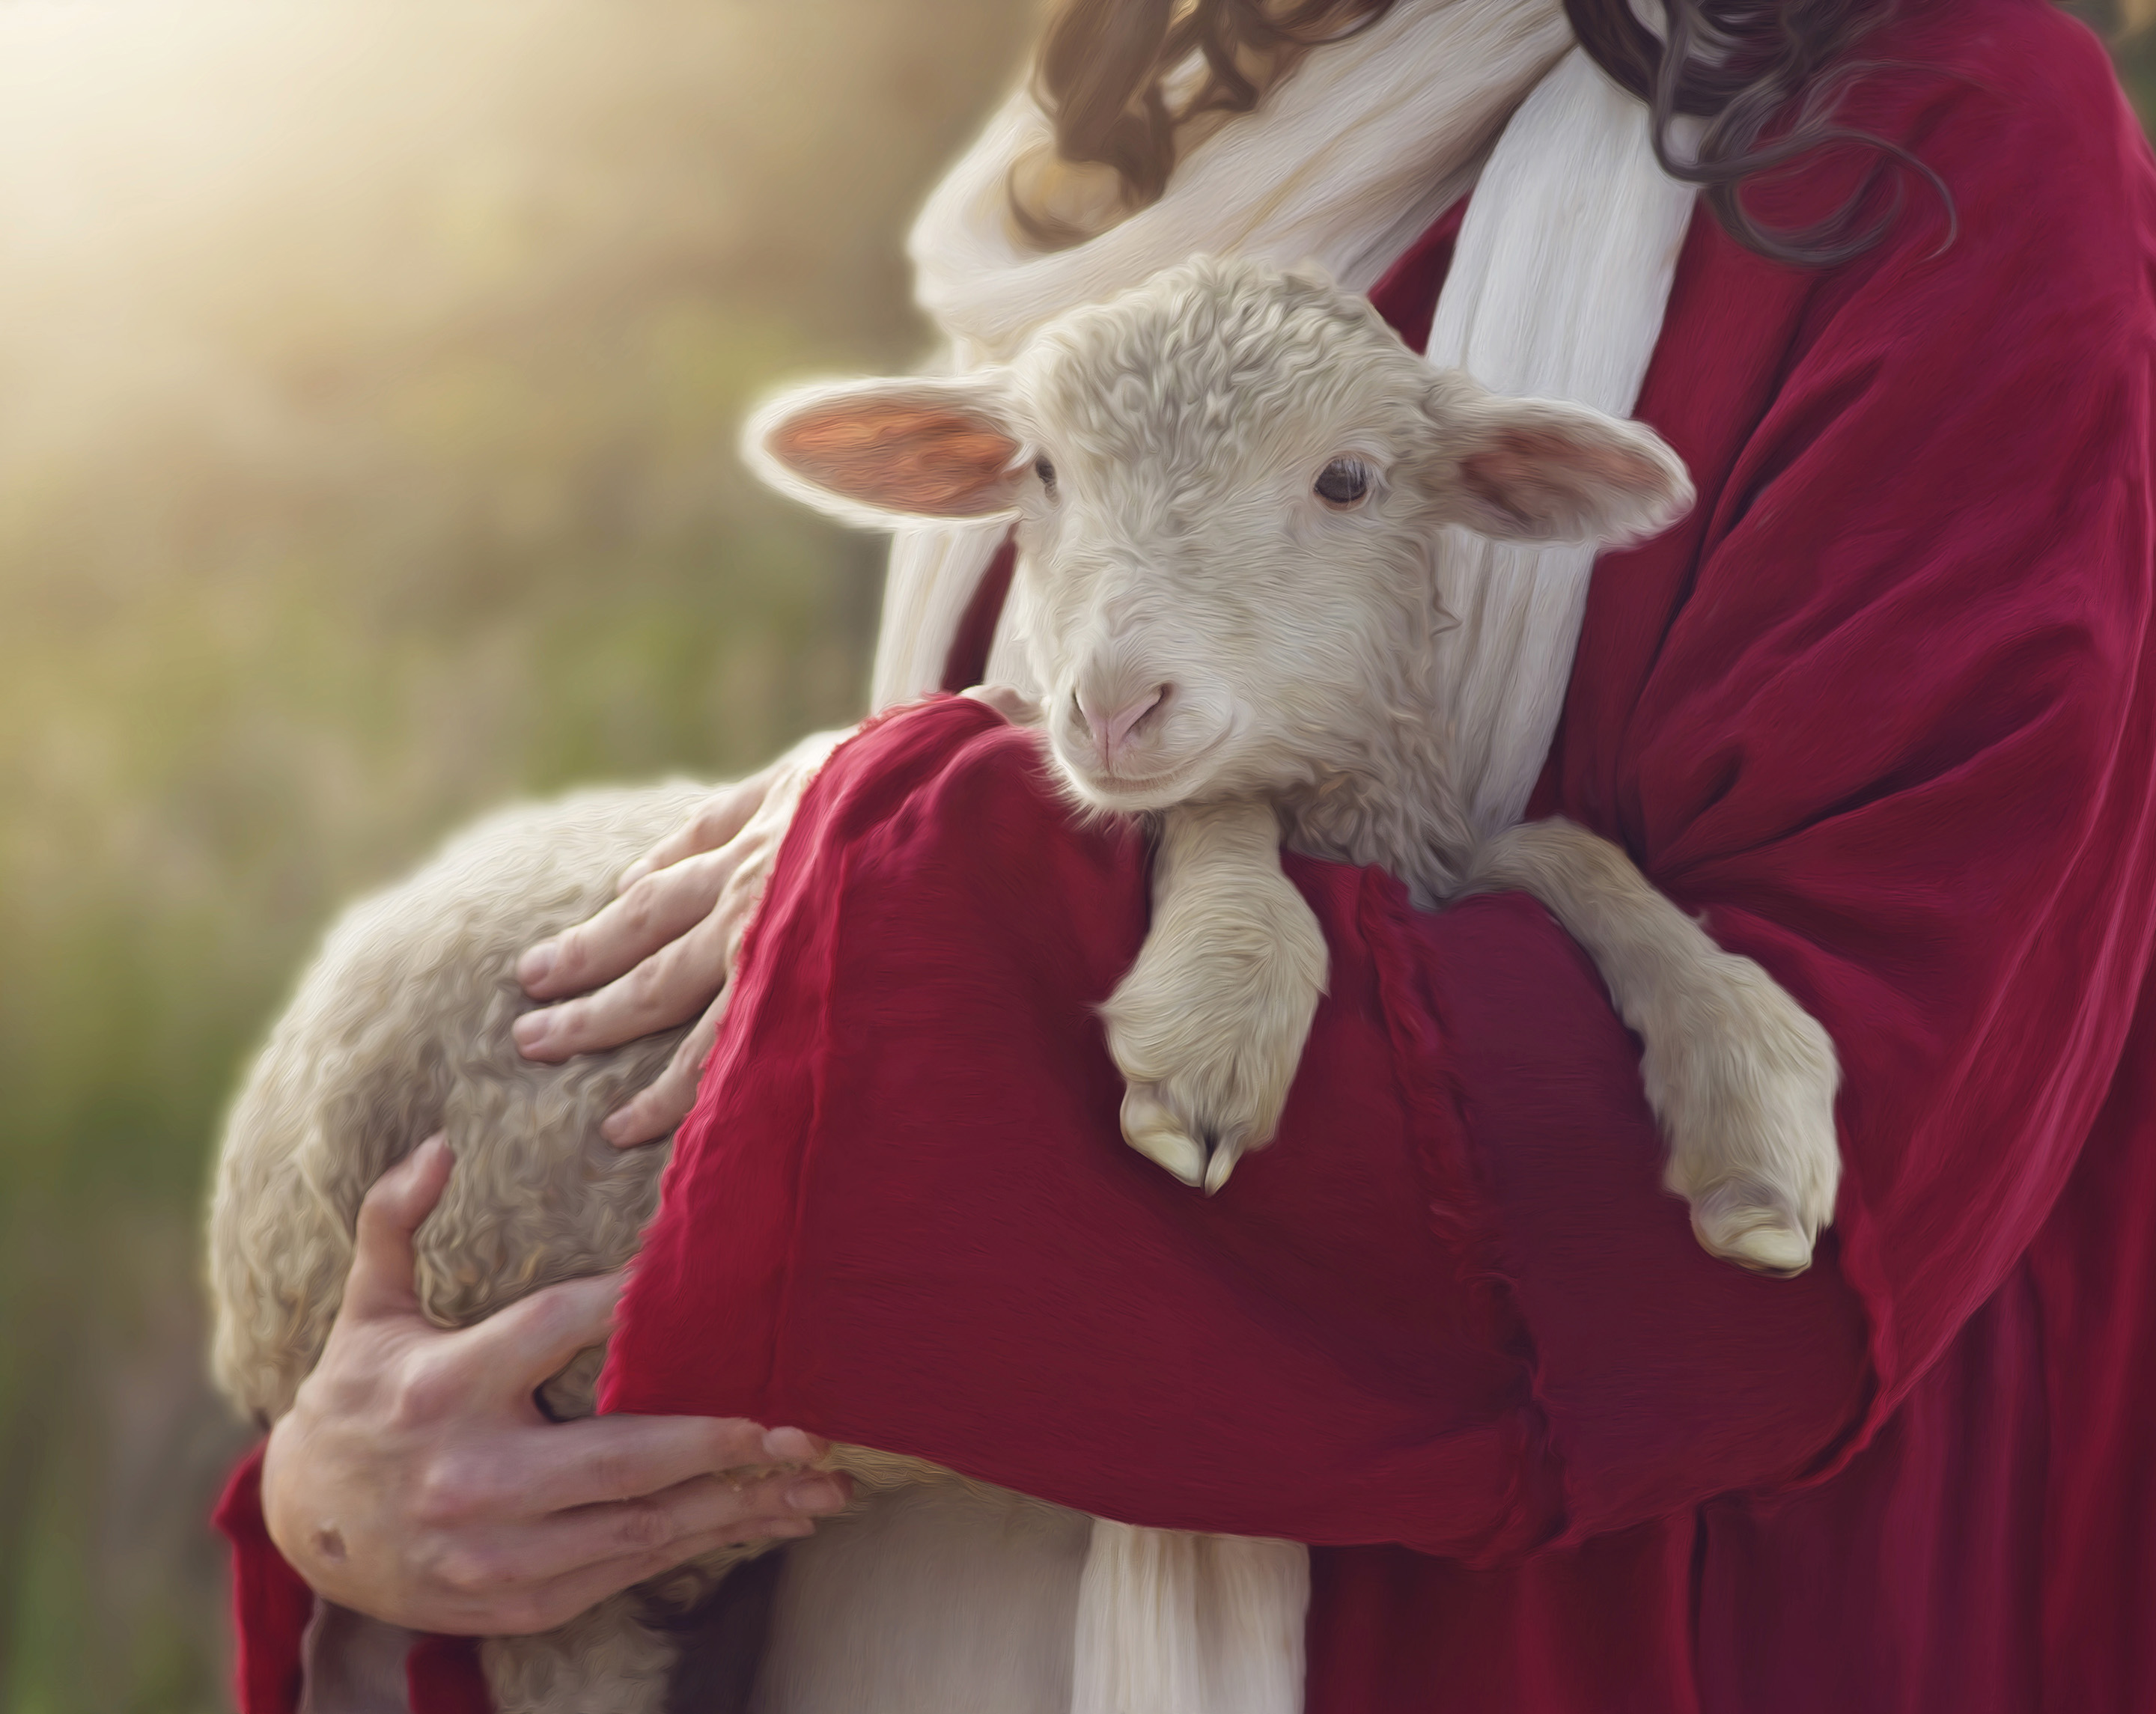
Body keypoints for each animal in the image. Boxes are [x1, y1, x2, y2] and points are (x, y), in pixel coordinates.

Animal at [210, 254, 1845, 1714]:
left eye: (1351, 481)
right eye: (1043, 471)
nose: (1113, 703)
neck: (1370, 835)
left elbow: (1567, 848)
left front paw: (1756, 1102)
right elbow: (1214, 815)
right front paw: (1219, 1007)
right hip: (554, 1558)